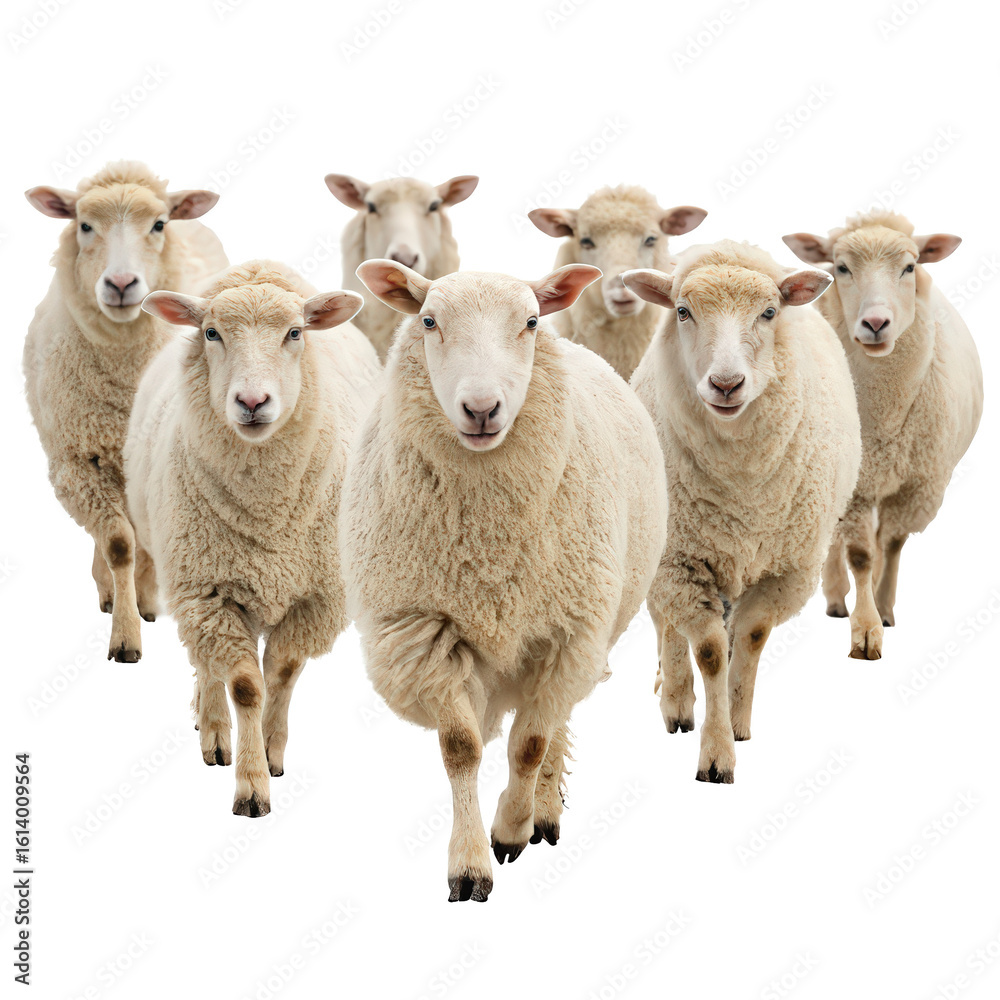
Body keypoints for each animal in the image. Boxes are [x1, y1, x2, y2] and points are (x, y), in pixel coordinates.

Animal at [23, 160, 225, 663]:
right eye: (83, 225)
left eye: (159, 224)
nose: (119, 285)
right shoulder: (79, 461)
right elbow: (117, 544)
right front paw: (125, 634)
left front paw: (142, 605)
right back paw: (112, 592)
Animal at [124, 260, 379, 816]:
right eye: (211, 333)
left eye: (295, 333)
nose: (252, 401)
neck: (266, 517)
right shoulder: (208, 593)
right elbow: (243, 685)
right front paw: (249, 782)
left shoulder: (315, 597)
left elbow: (280, 674)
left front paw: (268, 750)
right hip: (189, 579)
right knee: (207, 664)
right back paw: (215, 733)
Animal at [340, 260, 667, 902]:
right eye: (428, 320)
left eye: (531, 321)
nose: (481, 407)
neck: (488, 551)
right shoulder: (426, 634)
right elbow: (461, 750)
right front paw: (468, 866)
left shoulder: (566, 632)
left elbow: (531, 744)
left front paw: (512, 829)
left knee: (555, 722)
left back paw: (544, 813)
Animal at [623, 240, 861, 783]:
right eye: (683, 311)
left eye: (770, 312)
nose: (727, 384)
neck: (741, 495)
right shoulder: (680, 564)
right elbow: (709, 651)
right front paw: (715, 753)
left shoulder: (786, 569)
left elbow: (748, 639)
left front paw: (736, 721)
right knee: (668, 626)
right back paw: (675, 701)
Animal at [783, 213, 984, 658]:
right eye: (841, 268)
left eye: (910, 267)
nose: (875, 323)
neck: (884, 422)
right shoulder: (858, 484)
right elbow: (860, 554)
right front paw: (864, 628)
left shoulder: (917, 486)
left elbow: (890, 544)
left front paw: (883, 609)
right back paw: (837, 598)